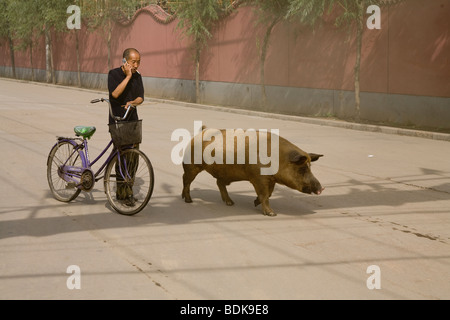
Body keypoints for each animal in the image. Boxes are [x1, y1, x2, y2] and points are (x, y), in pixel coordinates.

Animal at [180, 127, 324, 215]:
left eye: (310, 167)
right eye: (302, 168)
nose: (321, 188)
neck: (279, 159)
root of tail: (199, 133)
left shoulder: (270, 179)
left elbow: (269, 193)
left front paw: (255, 203)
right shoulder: (258, 177)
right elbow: (265, 194)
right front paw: (272, 214)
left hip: (222, 172)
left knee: (219, 183)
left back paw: (230, 203)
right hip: (191, 165)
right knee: (186, 180)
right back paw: (188, 201)